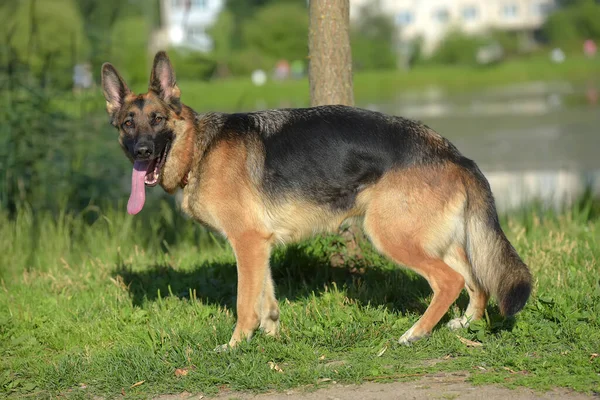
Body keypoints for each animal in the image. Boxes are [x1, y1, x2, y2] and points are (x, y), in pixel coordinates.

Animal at [101, 51, 532, 348]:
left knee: (449, 281)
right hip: (437, 238)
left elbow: (244, 303)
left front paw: (235, 345)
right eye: (127, 124)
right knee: (475, 280)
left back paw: (415, 333)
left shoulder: (247, 243)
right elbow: (266, 300)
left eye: (157, 120)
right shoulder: (260, 246)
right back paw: (465, 324)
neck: (198, 149)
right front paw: (270, 339)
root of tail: (452, 152)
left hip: (390, 236)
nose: (141, 151)